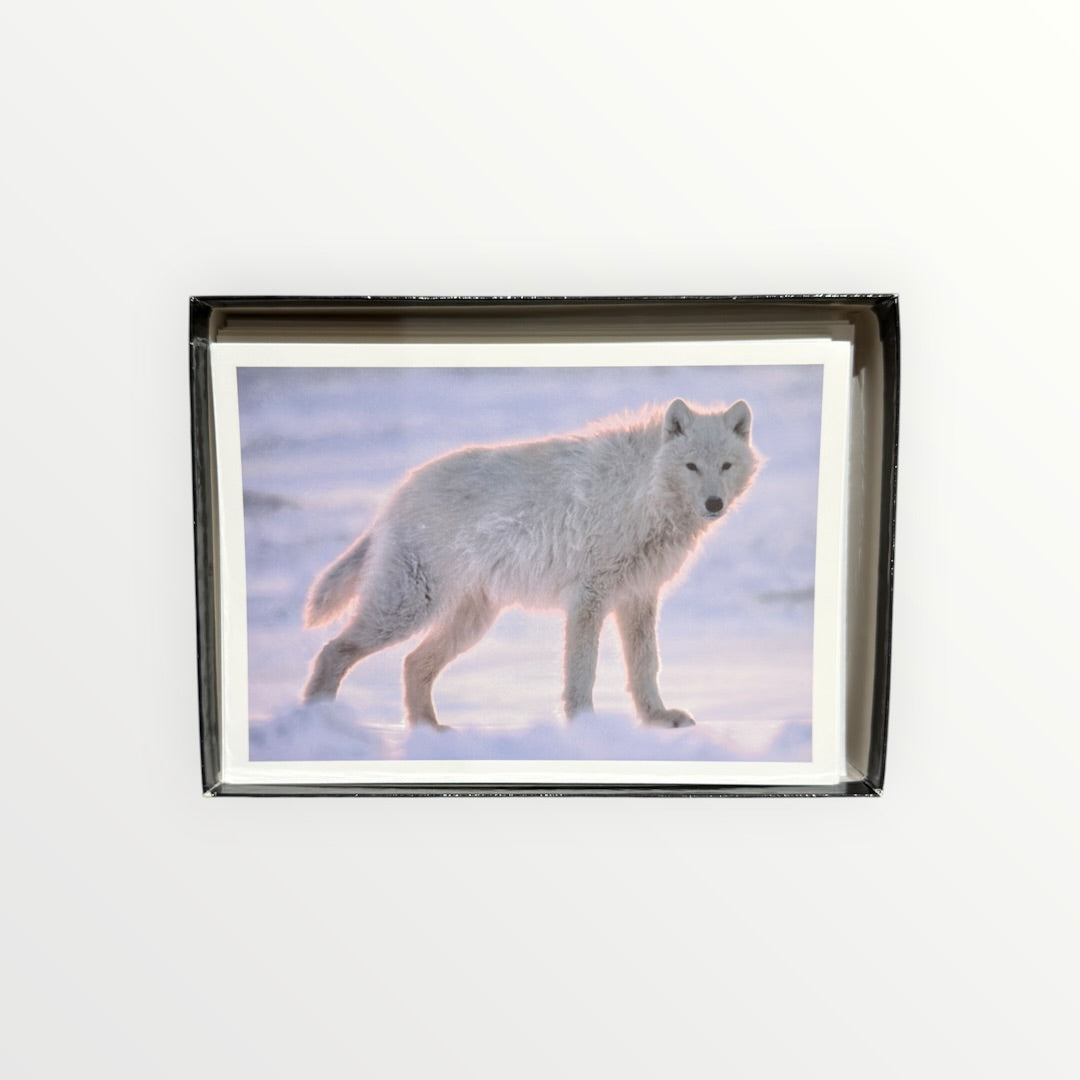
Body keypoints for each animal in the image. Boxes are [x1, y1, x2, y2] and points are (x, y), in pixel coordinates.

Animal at [302, 398, 760, 727]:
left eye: (725, 466)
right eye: (691, 466)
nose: (714, 503)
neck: (641, 494)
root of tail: (395, 497)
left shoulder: (639, 597)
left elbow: (645, 666)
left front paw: (657, 718)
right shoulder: (588, 598)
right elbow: (582, 672)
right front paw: (585, 726)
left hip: (469, 622)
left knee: (413, 664)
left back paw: (429, 731)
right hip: (407, 609)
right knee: (332, 651)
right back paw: (317, 722)